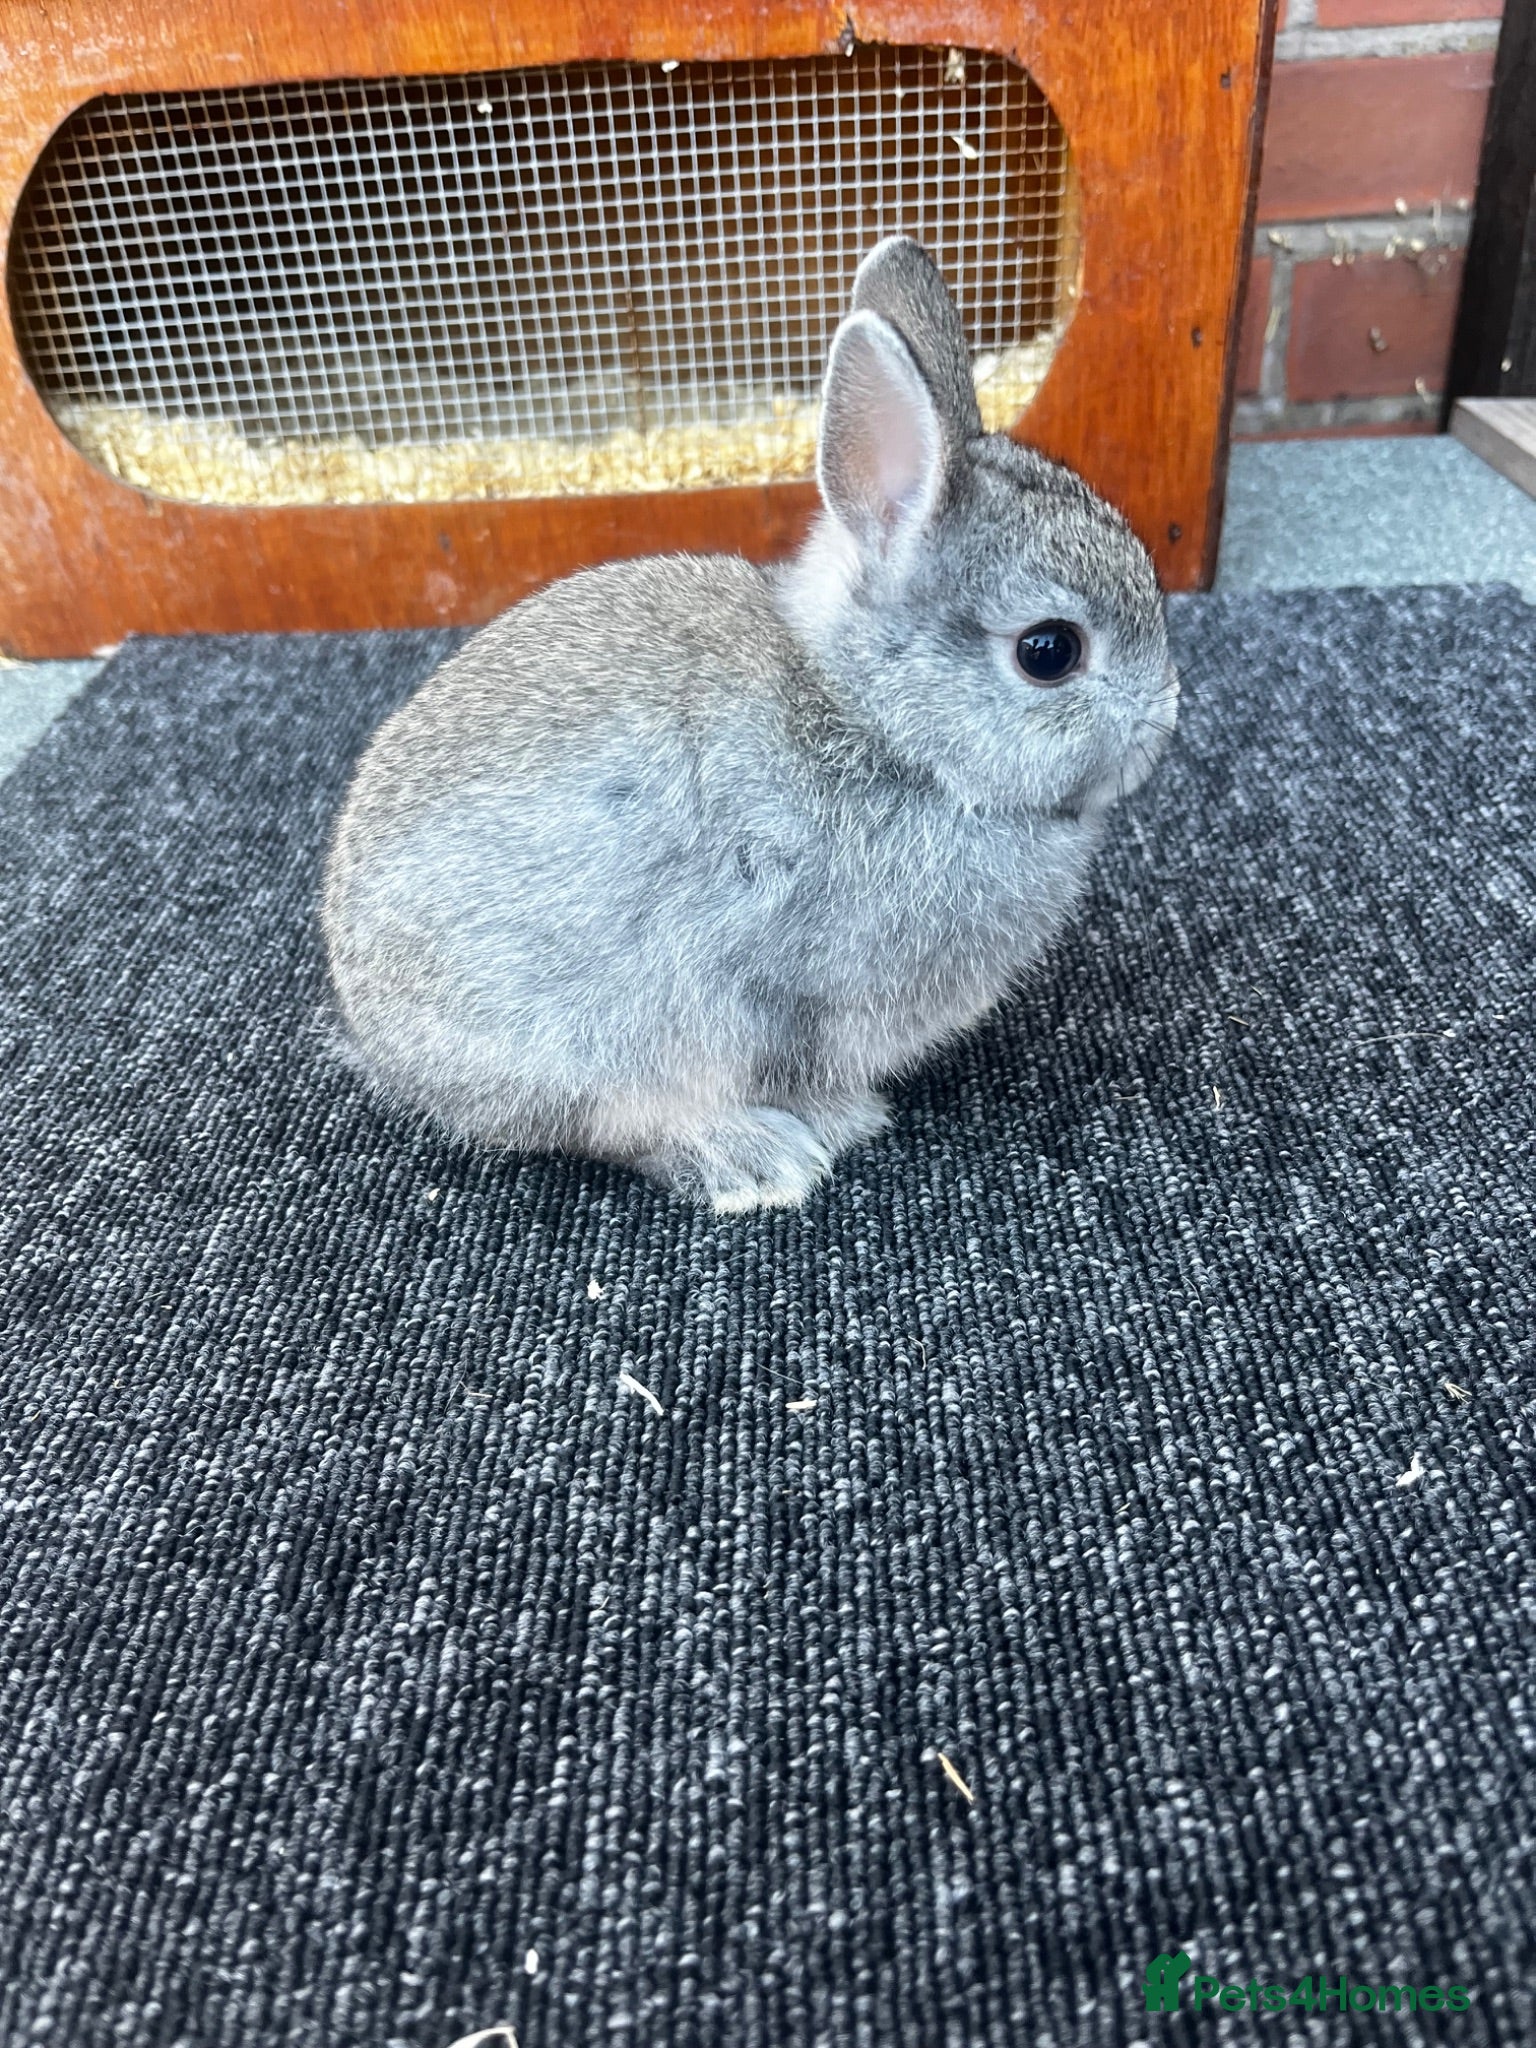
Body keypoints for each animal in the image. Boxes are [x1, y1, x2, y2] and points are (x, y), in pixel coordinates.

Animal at [321, 236, 1179, 1212]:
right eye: (1049, 651)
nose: (1166, 716)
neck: (882, 727)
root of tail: (385, 1047)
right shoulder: (788, 994)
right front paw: (844, 1118)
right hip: (603, 1040)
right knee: (615, 1127)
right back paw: (751, 1158)